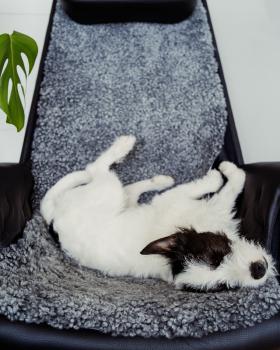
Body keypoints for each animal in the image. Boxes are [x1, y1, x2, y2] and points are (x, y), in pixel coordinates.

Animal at [41, 135, 276, 292]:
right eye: (224, 283)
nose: (259, 271)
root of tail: (52, 219)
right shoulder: (184, 201)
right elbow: (227, 186)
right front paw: (223, 174)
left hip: (122, 202)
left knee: (130, 191)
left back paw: (159, 180)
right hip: (108, 192)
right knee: (95, 169)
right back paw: (124, 145)